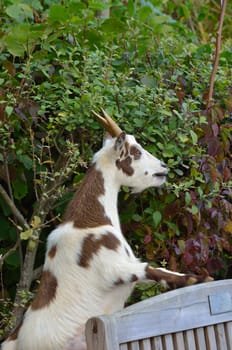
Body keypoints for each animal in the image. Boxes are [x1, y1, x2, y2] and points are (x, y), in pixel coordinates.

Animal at [1, 110, 212, 350]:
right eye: (135, 151)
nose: (163, 168)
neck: (88, 223)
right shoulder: (113, 268)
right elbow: (153, 270)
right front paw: (199, 279)